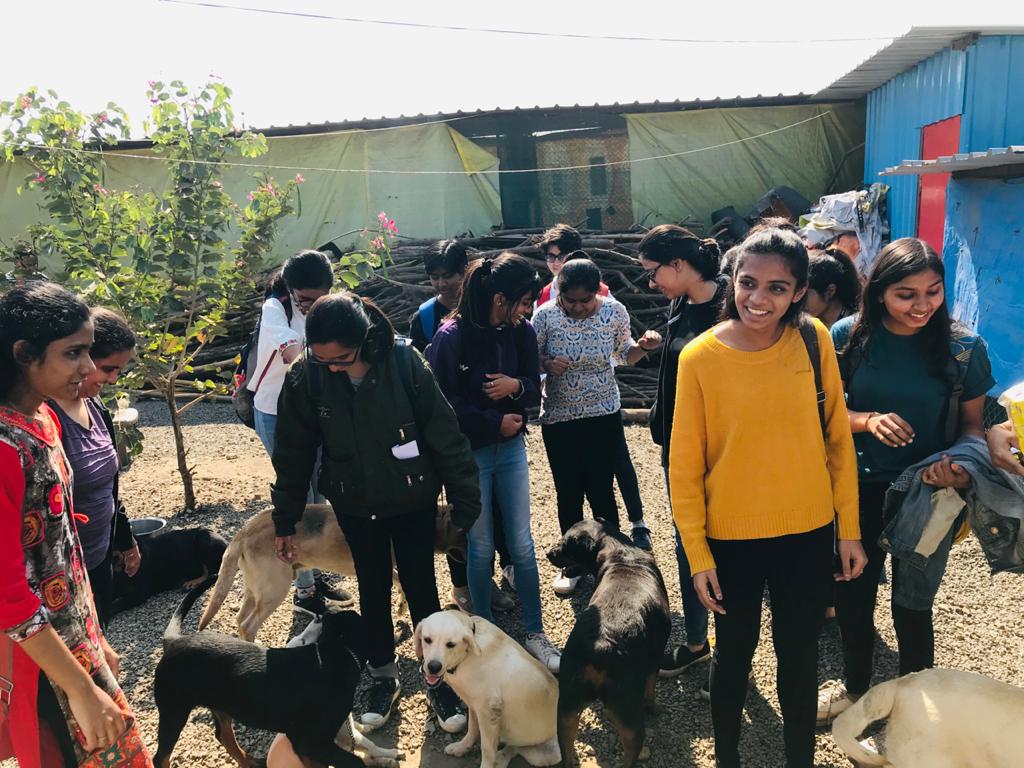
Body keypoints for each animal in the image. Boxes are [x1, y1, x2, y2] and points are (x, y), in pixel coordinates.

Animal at [151, 581, 399, 768]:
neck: (337, 652)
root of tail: (173, 641)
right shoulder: (311, 741)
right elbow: (354, 761)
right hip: (173, 709)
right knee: (160, 757)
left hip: (220, 705)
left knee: (225, 736)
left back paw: (249, 761)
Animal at [196, 505, 468, 643]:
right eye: (463, 533)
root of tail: (242, 534)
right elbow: (400, 581)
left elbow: (400, 582)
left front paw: (401, 607)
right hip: (275, 589)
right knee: (249, 624)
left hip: (255, 589)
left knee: (240, 619)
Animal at [415, 610, 561, 768]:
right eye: (427, 640)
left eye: (450, 644)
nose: (433, 667)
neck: (466, 655)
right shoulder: (473, 705)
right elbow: (471, 730)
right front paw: (461, 747)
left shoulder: (488, 713)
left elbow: (487, 749)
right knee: (513, 747)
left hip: (546, 755)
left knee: (516, 748)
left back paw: (500, 758)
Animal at [544, 518, 671, 768]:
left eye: (565, 545)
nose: (548, 553)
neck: (621, 554)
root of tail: (598, 646)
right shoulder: (654, 659)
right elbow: (650, 688)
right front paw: (654, 708)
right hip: (629, 714)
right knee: (631, 751)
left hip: (566, 708)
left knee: (566, 747)